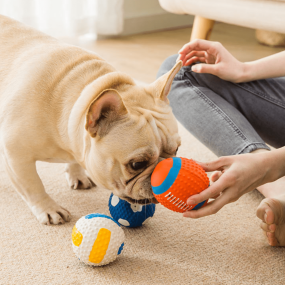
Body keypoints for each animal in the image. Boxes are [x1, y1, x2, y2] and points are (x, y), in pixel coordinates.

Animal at [0, 15, 181, 224]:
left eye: (177, 149)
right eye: (137, 164)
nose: (167, 174)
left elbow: (75, 160)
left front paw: (77, 175)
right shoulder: (16, 156)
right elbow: (33, 186)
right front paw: (48, 209)